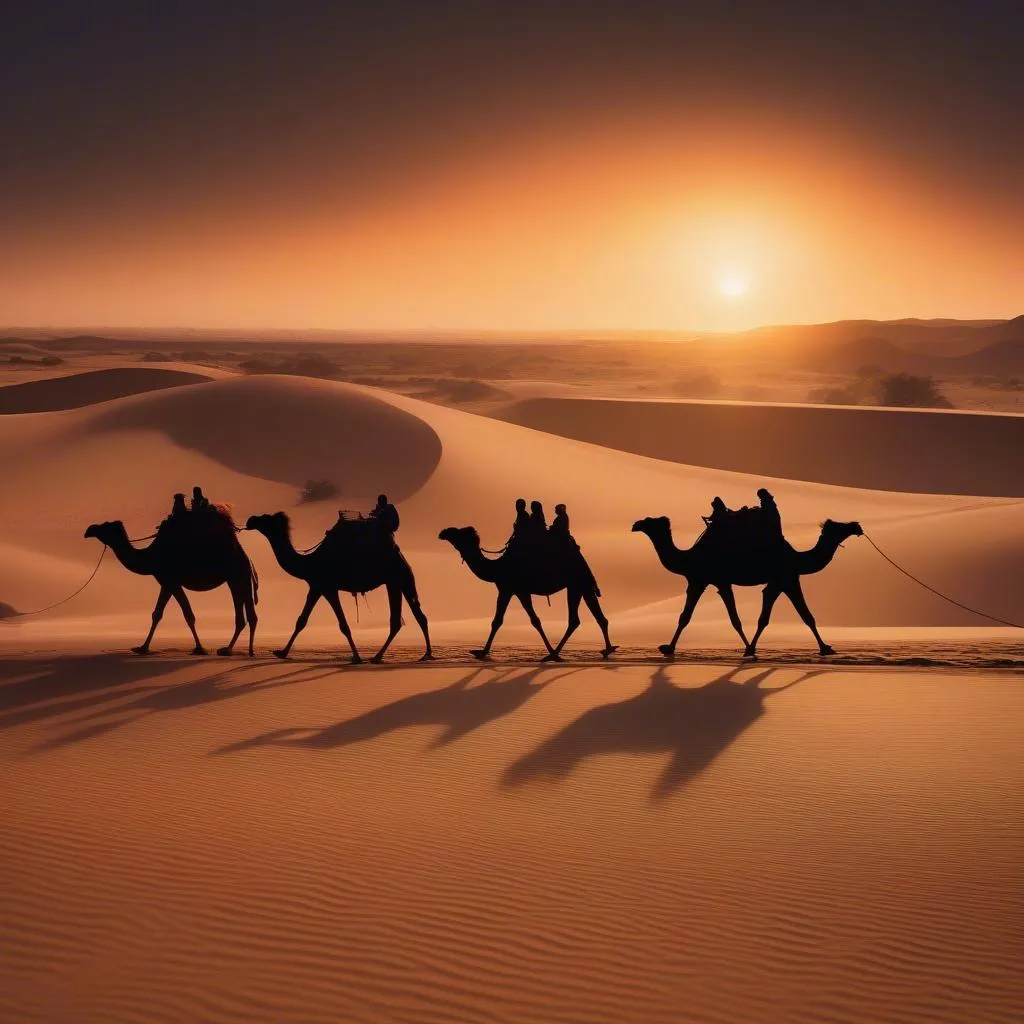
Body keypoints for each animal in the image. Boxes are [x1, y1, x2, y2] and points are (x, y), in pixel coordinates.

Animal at [84, 520, 260, 655]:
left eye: (105, 526)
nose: (89, 530)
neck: (151, 556)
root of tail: (248, 558)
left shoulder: (172, 581)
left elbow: (187, 615)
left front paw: (200, 649)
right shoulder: (166, 583)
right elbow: (157, 614)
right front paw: (142, 648)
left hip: (238, 575)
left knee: (246, 615)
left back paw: (234, 650)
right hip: (237, 579)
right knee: (246, 615)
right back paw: (237, 650)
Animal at [246, 512, 432, 663]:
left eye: (266, 518)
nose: (251, 519)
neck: (309, 563)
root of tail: (399, 554)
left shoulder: (328, 588)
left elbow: (343, 624)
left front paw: (356, 657)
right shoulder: (316, 587)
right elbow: (301, 621)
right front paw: (281, 652)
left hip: (399, 577)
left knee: (409, 617)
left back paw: (417, 655)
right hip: (397, 582)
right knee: (407, 619)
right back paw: (390, 656)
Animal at [434, 524, 610, 659]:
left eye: (459, 532)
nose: (443, 532)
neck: (497, 568)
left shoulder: (506, 588)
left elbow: (497, 621)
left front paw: (481, 653)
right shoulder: (520, 591)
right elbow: (535, 620)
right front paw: (550, 650)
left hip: (576, 583)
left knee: (575, 619)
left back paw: (555, 654)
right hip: (582, 585)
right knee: (596, 617)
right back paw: (607, 650)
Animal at [630, 516, 864, 659]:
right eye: (841, 525)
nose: (856, 526)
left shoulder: (784, 580)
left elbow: (802, 617)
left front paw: (826, 648)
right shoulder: (708, 581)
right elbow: (689, 617)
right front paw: (668, 648)